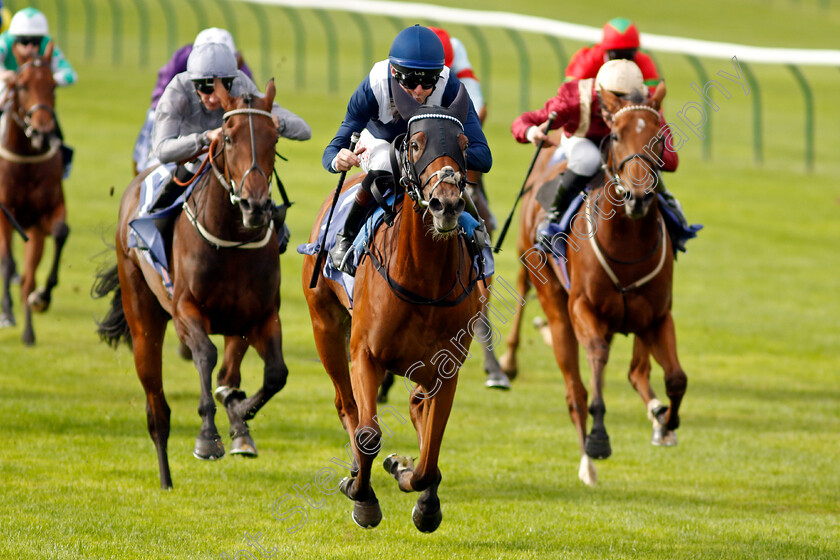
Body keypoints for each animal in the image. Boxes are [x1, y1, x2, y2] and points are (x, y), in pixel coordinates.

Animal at [94, 80, 288, 490]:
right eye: (228, 137)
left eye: (274, 136)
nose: (255, 206)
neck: (230, 238)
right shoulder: (186, 311)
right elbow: (205, 355)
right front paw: (208, 436)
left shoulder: (262, 317)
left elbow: (275, 374)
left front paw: (240, 412)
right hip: (144, 318)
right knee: (157, 406)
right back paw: (166, 478)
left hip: (235, 325)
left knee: (229, 372)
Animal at [304, 85, 480, 532]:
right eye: (415, 144)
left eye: (463, 144)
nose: (445, 204)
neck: (423, 280)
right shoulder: (366, 354)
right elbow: (368, 433)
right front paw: (362, 496)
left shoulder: (446, 367)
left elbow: (431, 449)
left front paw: (418, 490)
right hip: (325, 326)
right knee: (347, 405)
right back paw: (354, 471)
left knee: (417, 408)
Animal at [502, 81, 684, 484]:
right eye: (616, 135)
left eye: (658, 136)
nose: (638, 197)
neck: (627, 244)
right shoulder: (584, 309)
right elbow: (597, 361)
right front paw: (599, 438)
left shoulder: (658, 317)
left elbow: (677, 378)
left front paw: (669, 421)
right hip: (553, 298)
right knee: (575, 392)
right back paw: (586, 461)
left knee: (636, 372)